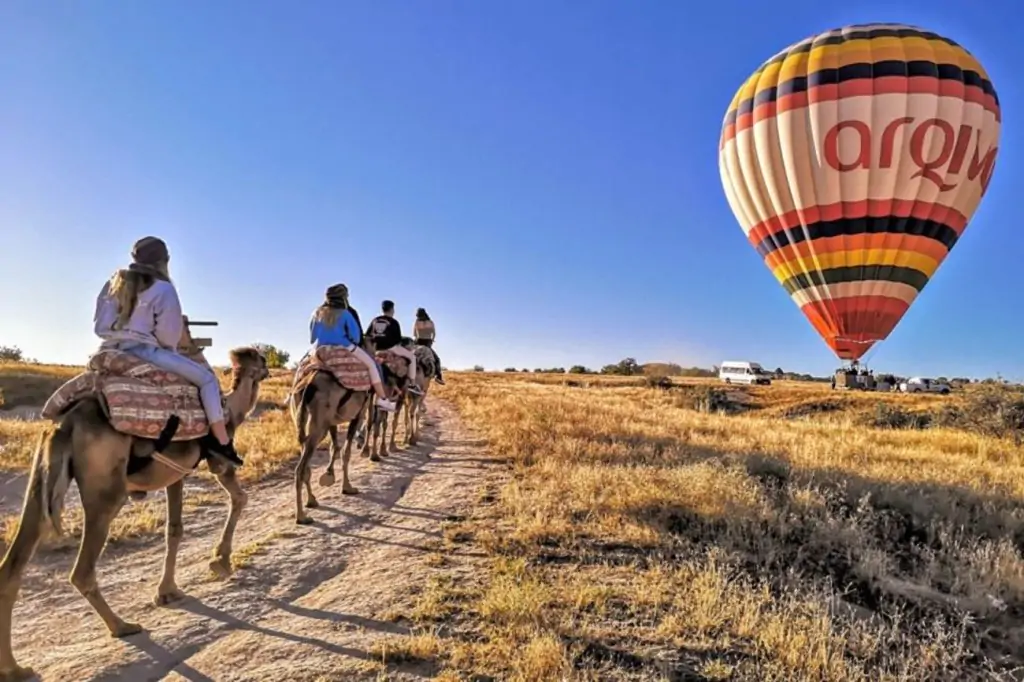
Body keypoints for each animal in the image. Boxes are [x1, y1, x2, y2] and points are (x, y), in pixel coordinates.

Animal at [0, 337, 268, 675]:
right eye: (261, 360)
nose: (268, 369)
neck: (231, 408)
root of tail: (66, 424)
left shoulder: (175, 474)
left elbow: (174, 530)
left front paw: (167, 591)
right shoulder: (218, 462)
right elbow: (239, 498)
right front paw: (219, 561)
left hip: (42, 475)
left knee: (14, 562)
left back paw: (14, 668)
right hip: (106, 490)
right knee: (82, 569)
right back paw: (122, 626)